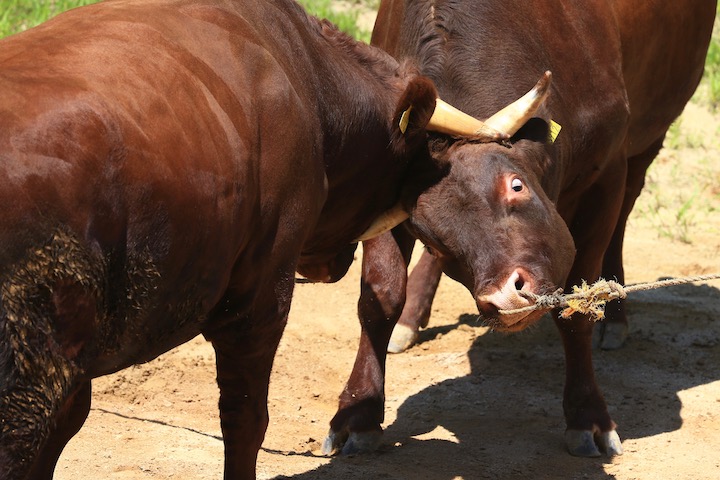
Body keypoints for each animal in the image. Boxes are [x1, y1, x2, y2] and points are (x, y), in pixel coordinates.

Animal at [324, 0, 716, 460]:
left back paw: (616, 312)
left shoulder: (607, 171)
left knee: (627, 208)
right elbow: (379, 299)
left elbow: (577, 308)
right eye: (432, 238)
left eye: (515, 185)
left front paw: (588, 417)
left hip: (651, 131)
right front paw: (358, 414)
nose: (503, 298)